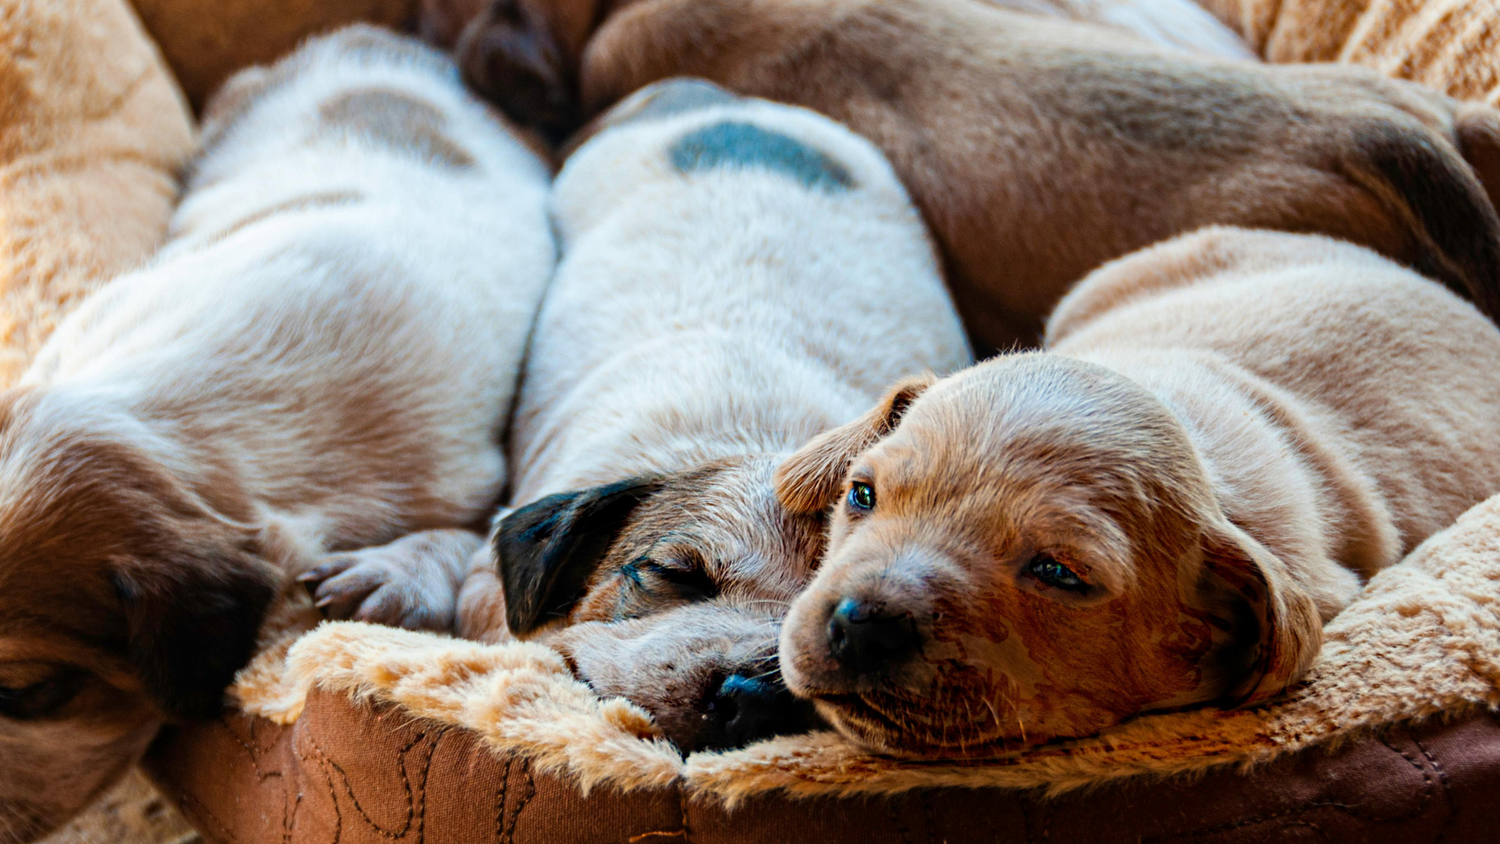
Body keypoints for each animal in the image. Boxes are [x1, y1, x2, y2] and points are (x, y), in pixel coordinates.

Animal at [0, 28, 558, 844]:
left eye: (24, 692)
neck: (162, 414)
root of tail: (383, 40)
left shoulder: (471, 470)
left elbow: (470, 529)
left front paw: (394, 574)